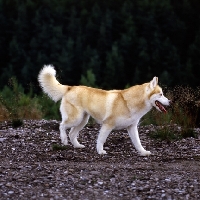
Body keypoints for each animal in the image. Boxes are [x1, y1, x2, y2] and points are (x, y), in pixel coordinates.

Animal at [38, 65, 170, 155]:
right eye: (161, 94)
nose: (170, 102)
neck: (128, 102)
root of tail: (70, 87)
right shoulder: (107, 125)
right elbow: (101, 140)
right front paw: (100, 151)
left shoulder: (132, 127)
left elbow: (138, 143)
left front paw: (143, 152)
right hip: (75, 119)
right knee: (62, 126)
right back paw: (64, 140)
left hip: (83, 121)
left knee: (72, 133)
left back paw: (77, 146)